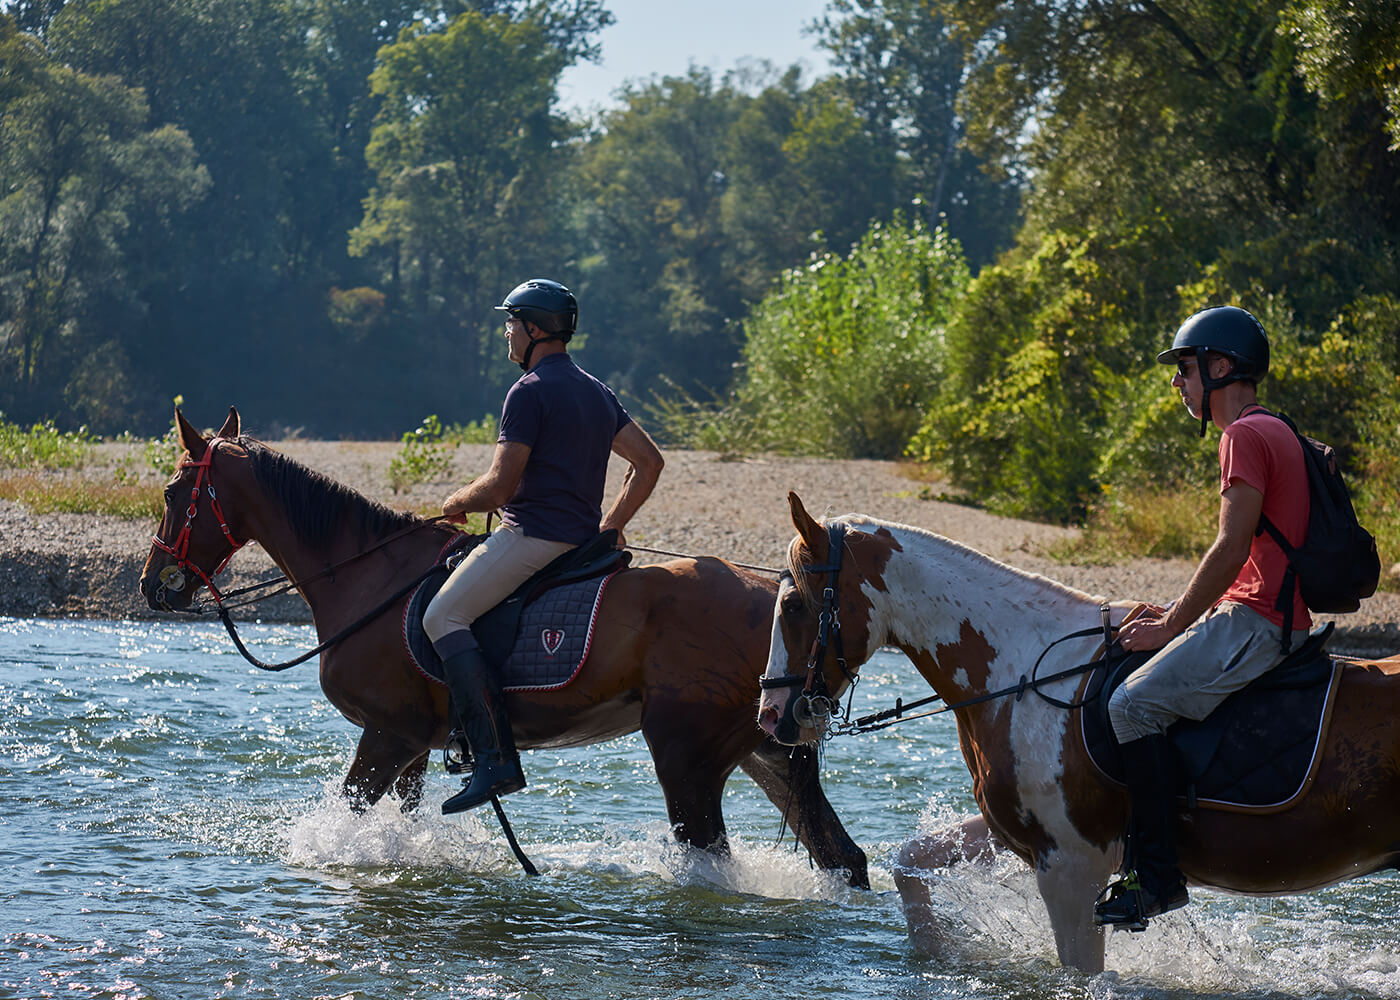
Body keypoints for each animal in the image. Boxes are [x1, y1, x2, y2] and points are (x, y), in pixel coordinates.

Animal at [136, 408, 868, 885]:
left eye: (174, 491)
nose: (154, 584)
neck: (370, 575)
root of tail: (781, 598)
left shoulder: (388, 732)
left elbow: (347, 812)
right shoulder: (415, 743)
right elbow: (400, 826)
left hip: (687, 756)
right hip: (763, 751)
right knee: (843, 857)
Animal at [761, 490, 1400, 963]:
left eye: (792, 605)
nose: (770, 716)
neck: (1023, 669)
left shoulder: (1071, 864)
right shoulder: (1024, 835)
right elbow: (910, 866)